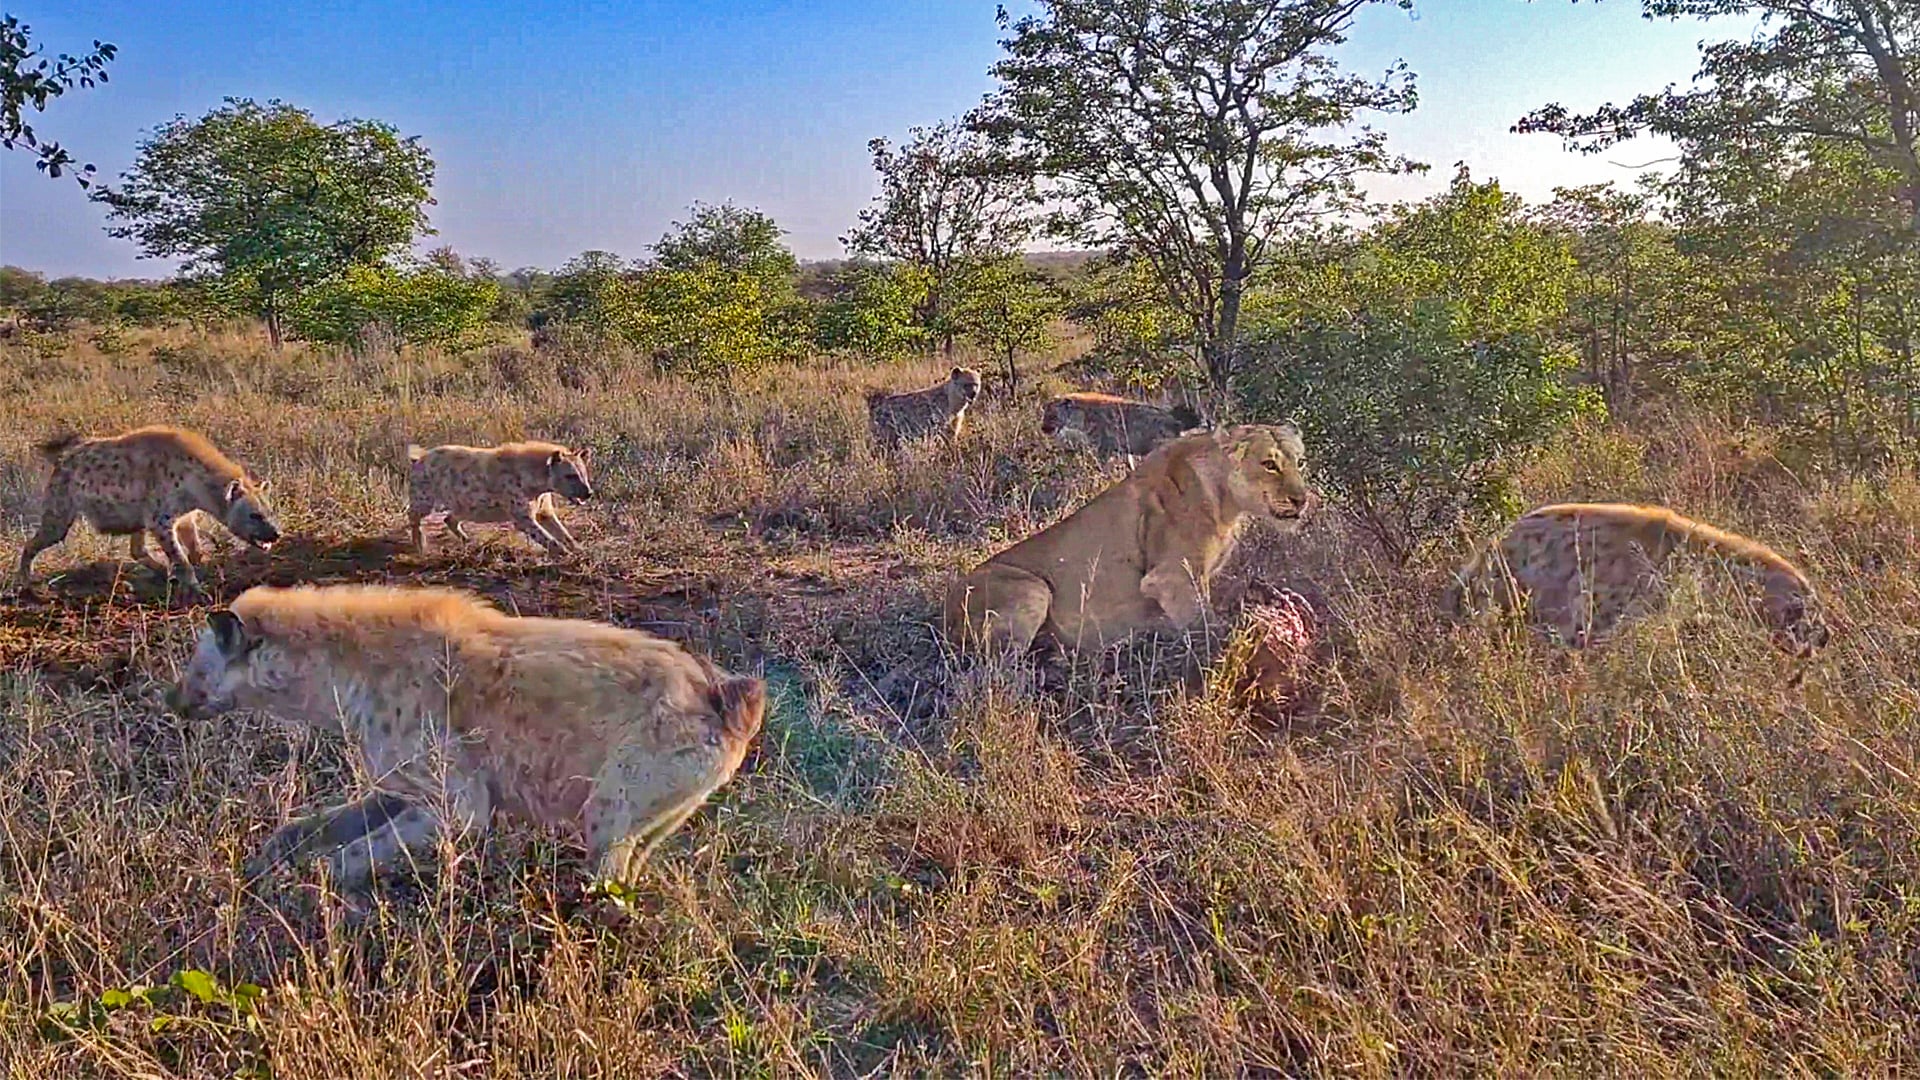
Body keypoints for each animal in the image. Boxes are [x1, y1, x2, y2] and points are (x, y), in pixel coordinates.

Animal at [945, 425, 1313, 655]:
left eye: (1300, 462)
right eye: (1269, 464)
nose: (1302, 500)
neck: (1227, 501)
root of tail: (944, 610)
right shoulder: (1172, 578)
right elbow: (1208, 628)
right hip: (1032, 589)